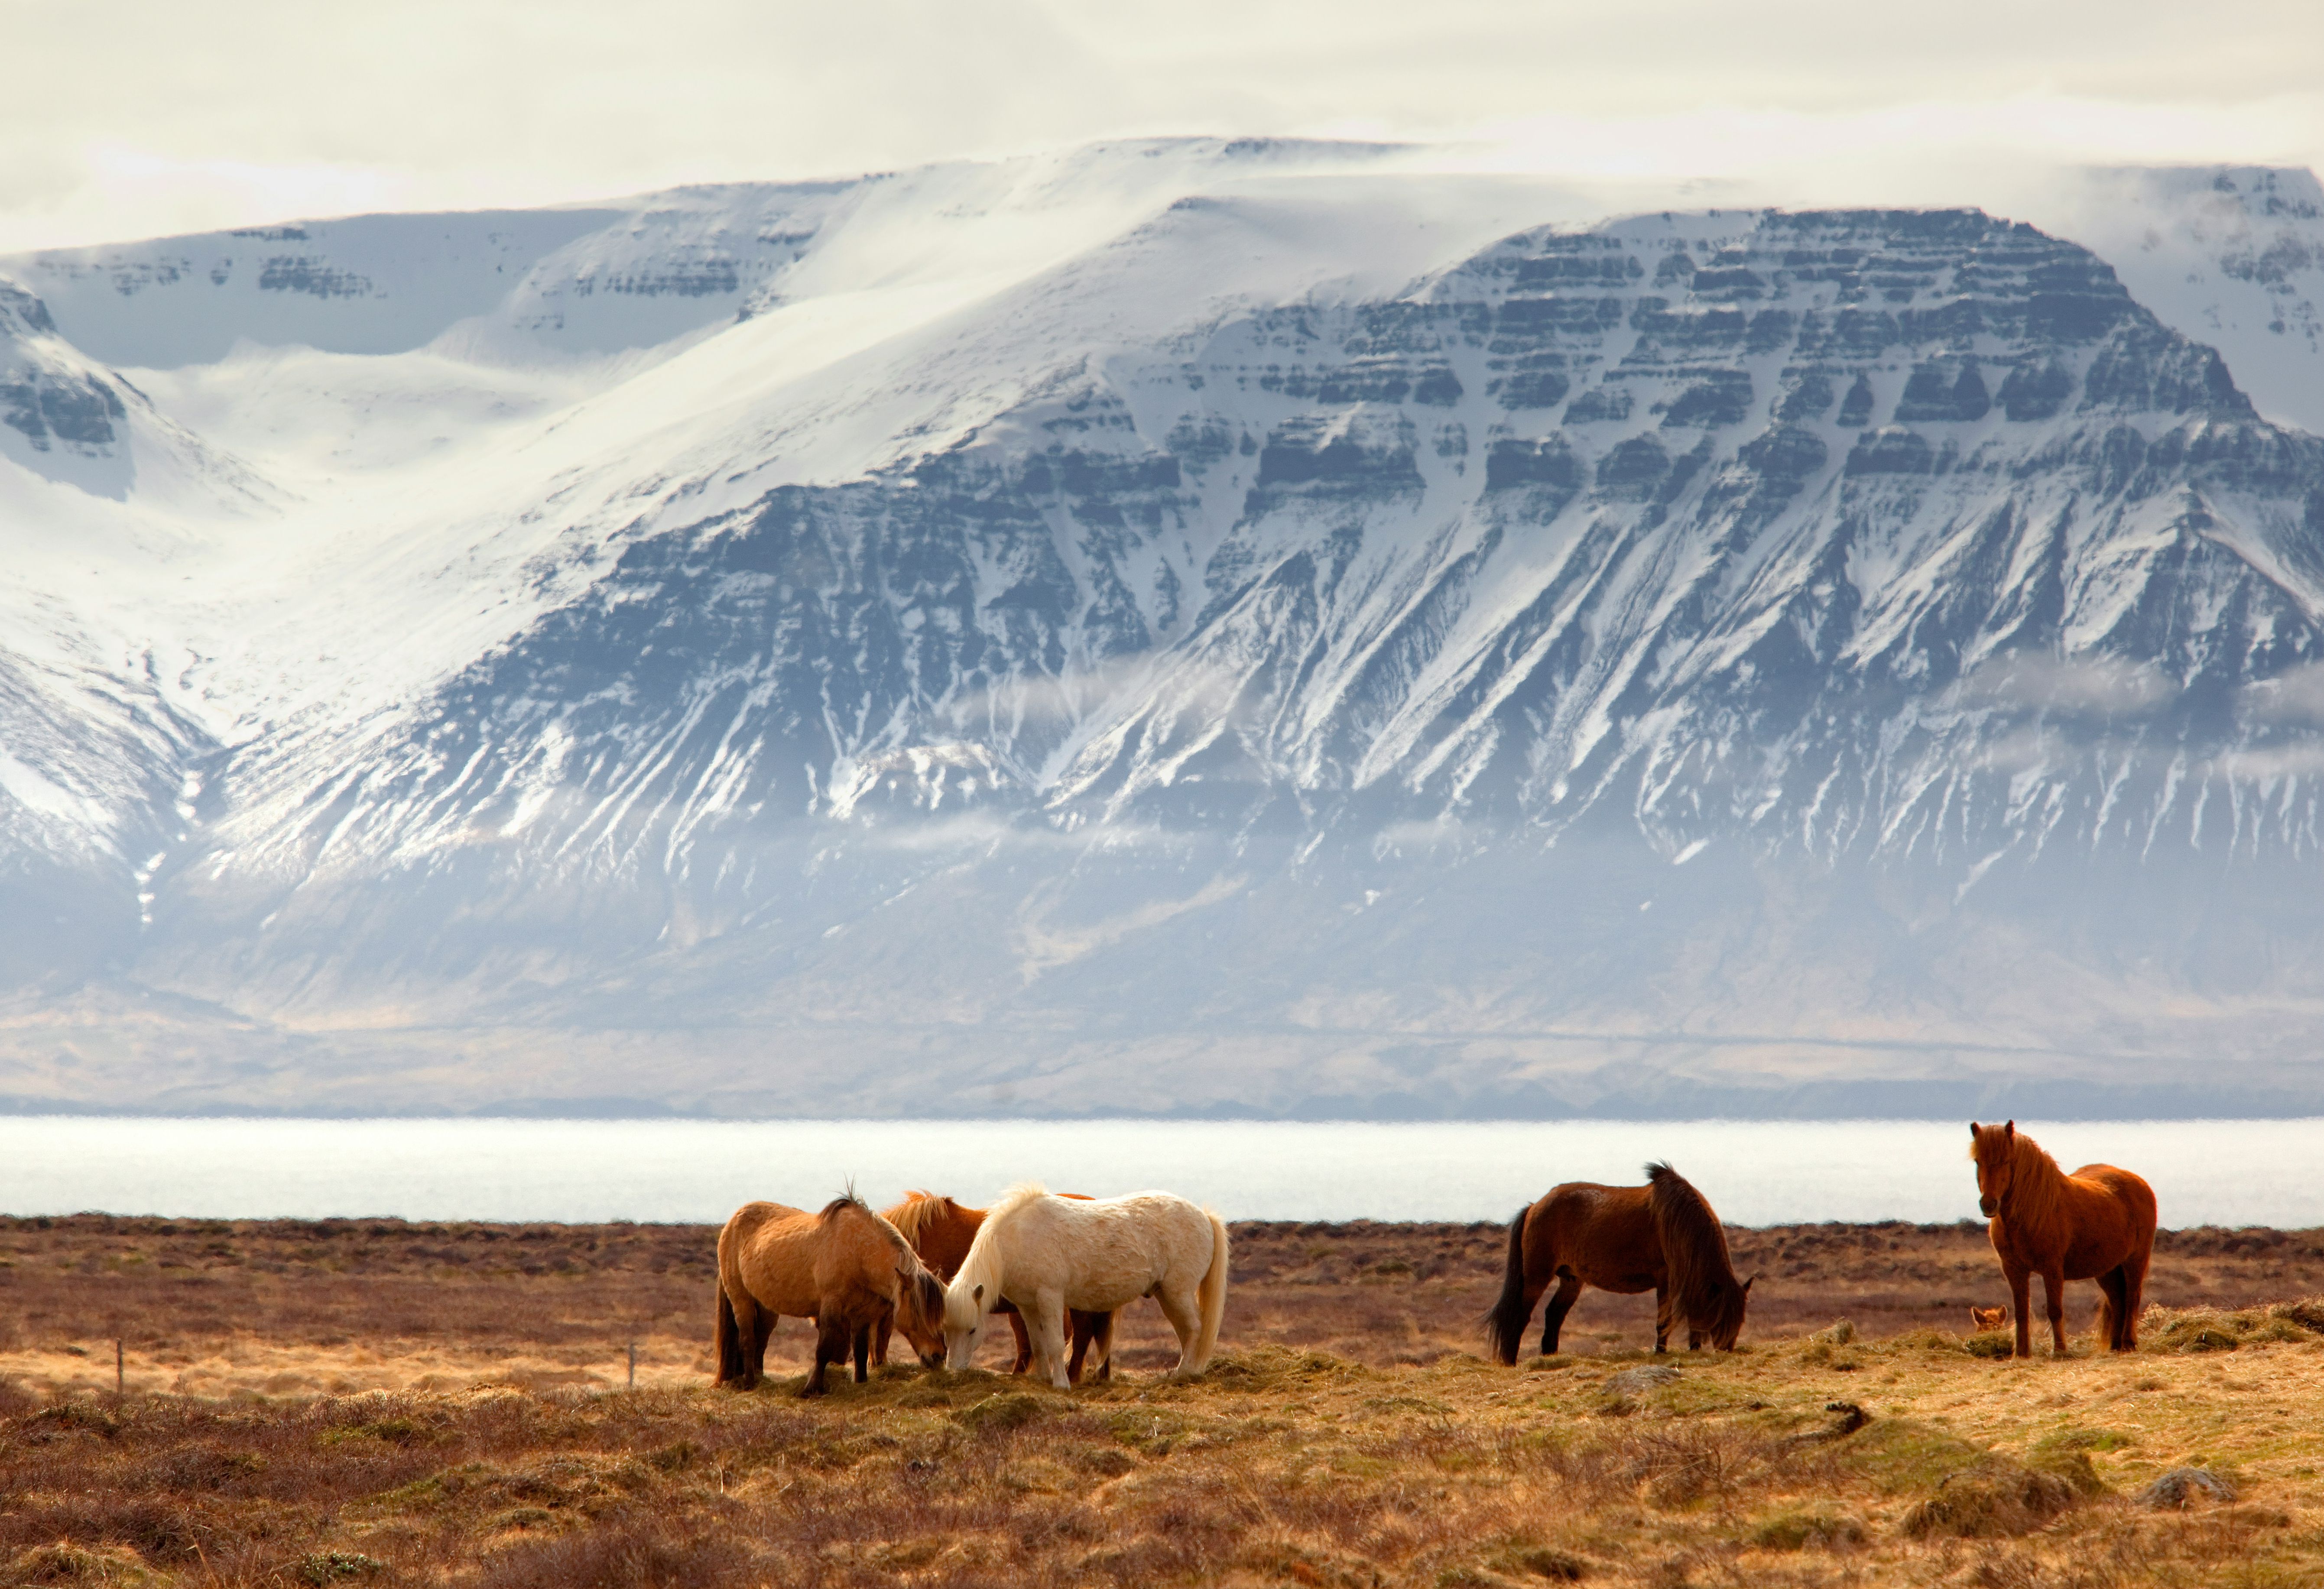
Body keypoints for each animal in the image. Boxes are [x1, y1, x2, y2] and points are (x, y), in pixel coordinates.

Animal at [713, 1194, 949, 1396]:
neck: (859, 1252)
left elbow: (861, 1351)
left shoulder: (862, 1315)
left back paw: (760, 1379)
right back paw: (750, 1384)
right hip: (741, 1300)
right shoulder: (831, 1306)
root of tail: (731, 1224)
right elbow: (824, 1349)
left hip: (766, 1308)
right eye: (919, 1314)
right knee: (747, 1339)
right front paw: (811, 1389)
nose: (938, 1357)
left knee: (761, 1341)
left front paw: (861, 1382)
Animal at [943, 1184, 1228, 1388]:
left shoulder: (1050, 1298)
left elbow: (1055, 1343)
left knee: (1195, 1328)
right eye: (946, 1330)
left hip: (1178, 1293)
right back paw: (1187, 1371)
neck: (1017, 1238)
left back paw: (1183, 1373)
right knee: (1186, 1331)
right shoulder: (1027, 1306)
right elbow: (1037, 1343)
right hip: (1167, 1296)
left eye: (973, 1330)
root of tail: (1204, 1216)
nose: (954, 1372)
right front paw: (1043, 1379)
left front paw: (1061, 1385)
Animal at [1484, 1161, 1754, 1364]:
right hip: (1537, 1276)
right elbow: (1664, 1321)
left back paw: (1550, 1356)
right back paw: (1511, 1361)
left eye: (1741, 1319)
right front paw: (1661, 1352)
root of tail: (1535, 1206)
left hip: (1571, 1279)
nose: (1726, 1351)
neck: (1679, 1220)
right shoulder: (1665, 1279)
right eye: (1722, 1316)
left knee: (1554, 1314)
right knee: (1521, 1315)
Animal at [1968, 1120, 2157, 1358]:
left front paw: (2059, 1351)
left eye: (2006, 1160)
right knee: (2117, 1301)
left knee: (2132, 1297)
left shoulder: (2053, 1269)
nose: (1989, 1205)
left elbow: (2055, 1309)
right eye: (1978, 1161)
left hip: (2135, 1261)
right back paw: (2115, 1346)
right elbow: (2021, 1311)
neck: (2033, 1210)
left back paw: (2129, 1343)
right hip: (2108, 1269)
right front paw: (2021, 1353)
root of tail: (2140, 1183)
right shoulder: (2014, 1269)